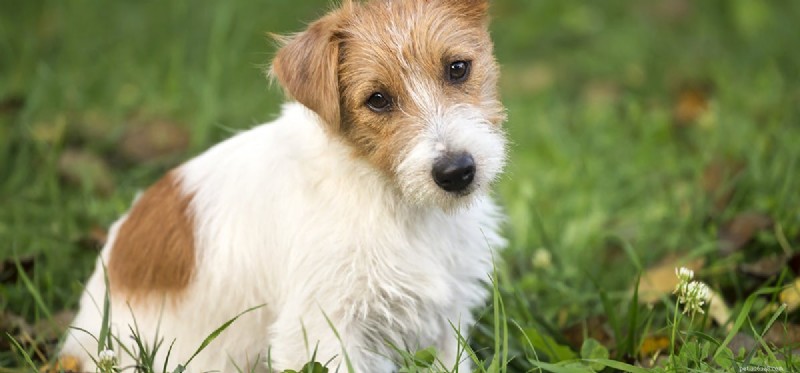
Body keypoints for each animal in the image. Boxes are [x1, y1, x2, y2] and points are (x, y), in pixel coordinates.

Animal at [56, 0, 506, 370]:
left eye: (457, 68)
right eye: (377, 99)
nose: (456, 172)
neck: (391, 200)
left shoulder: (446, 318)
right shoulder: (322, 326)